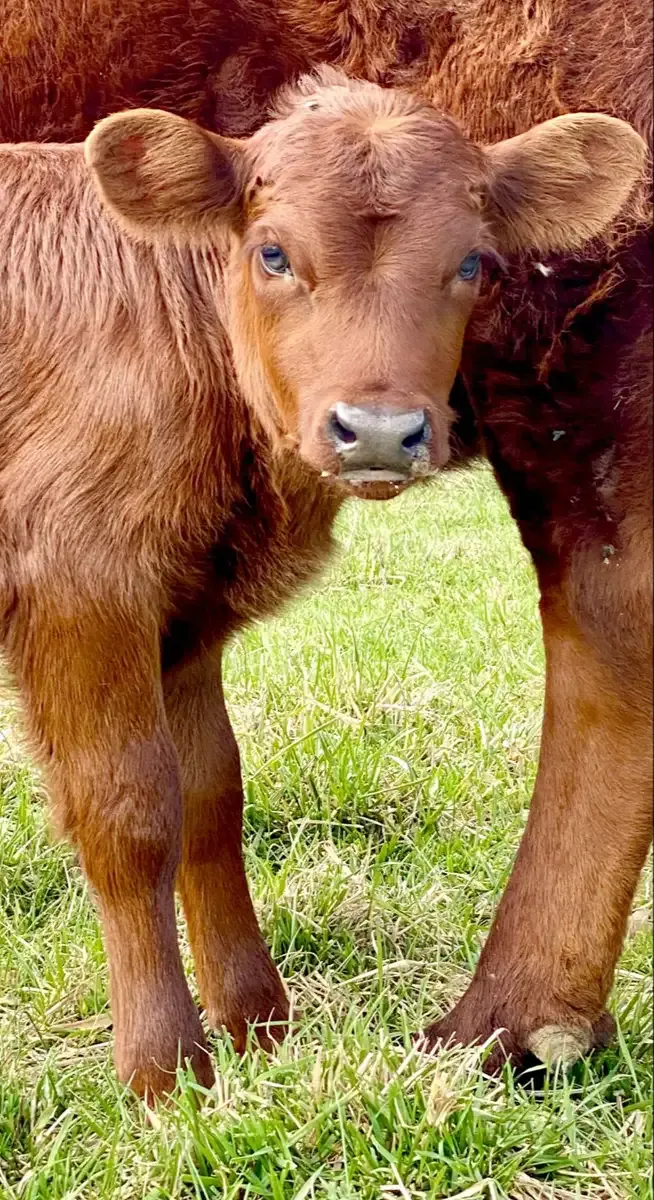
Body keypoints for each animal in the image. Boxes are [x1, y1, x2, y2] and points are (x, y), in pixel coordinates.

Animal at [1, 0, 651, 1097]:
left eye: (473, 263)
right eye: (272, 253)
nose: (380, 430)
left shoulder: (185, 608)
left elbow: (211, 796)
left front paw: (255, 1028)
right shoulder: (81, 581)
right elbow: (133, 815)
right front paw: (166, 1072)